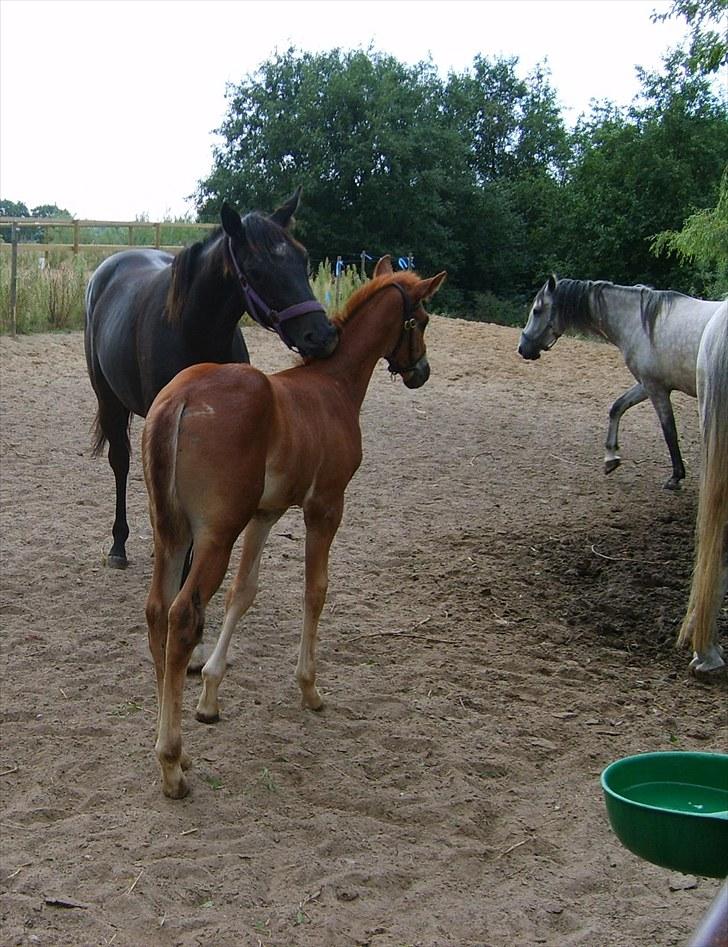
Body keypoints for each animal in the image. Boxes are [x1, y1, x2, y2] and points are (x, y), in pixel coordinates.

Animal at [84, 188, 338, 568]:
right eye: (256, 271)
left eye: (303, 259)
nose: (321, 335)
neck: (193, 330)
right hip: (110, 401)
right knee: (121, 462)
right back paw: (119, 545)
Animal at [138, 256, 444, 796]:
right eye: (422, 321)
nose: (420, 372)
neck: (334, 386)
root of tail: (181, 398)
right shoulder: (326, 507)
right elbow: (315, 590)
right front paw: (309, 687)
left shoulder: (266, 513)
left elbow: (244, 592)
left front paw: (210, 695)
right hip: (215, 535)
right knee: (182, 616)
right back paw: (172, 763)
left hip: (170, 532)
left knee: (158, 612)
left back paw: (178, 751)